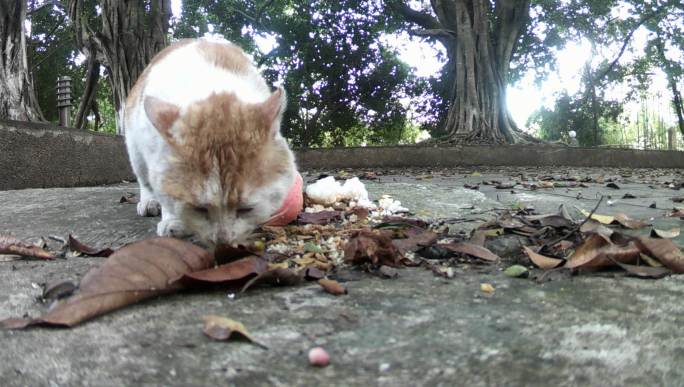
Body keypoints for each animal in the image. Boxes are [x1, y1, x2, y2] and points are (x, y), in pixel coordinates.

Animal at [123, 38, 296, 246]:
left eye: (246, 209)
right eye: (199, 209)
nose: (223, 242)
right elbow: (164, 193)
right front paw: (173, 220)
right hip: (135, 148)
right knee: (144, 180)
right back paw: (149, 202)